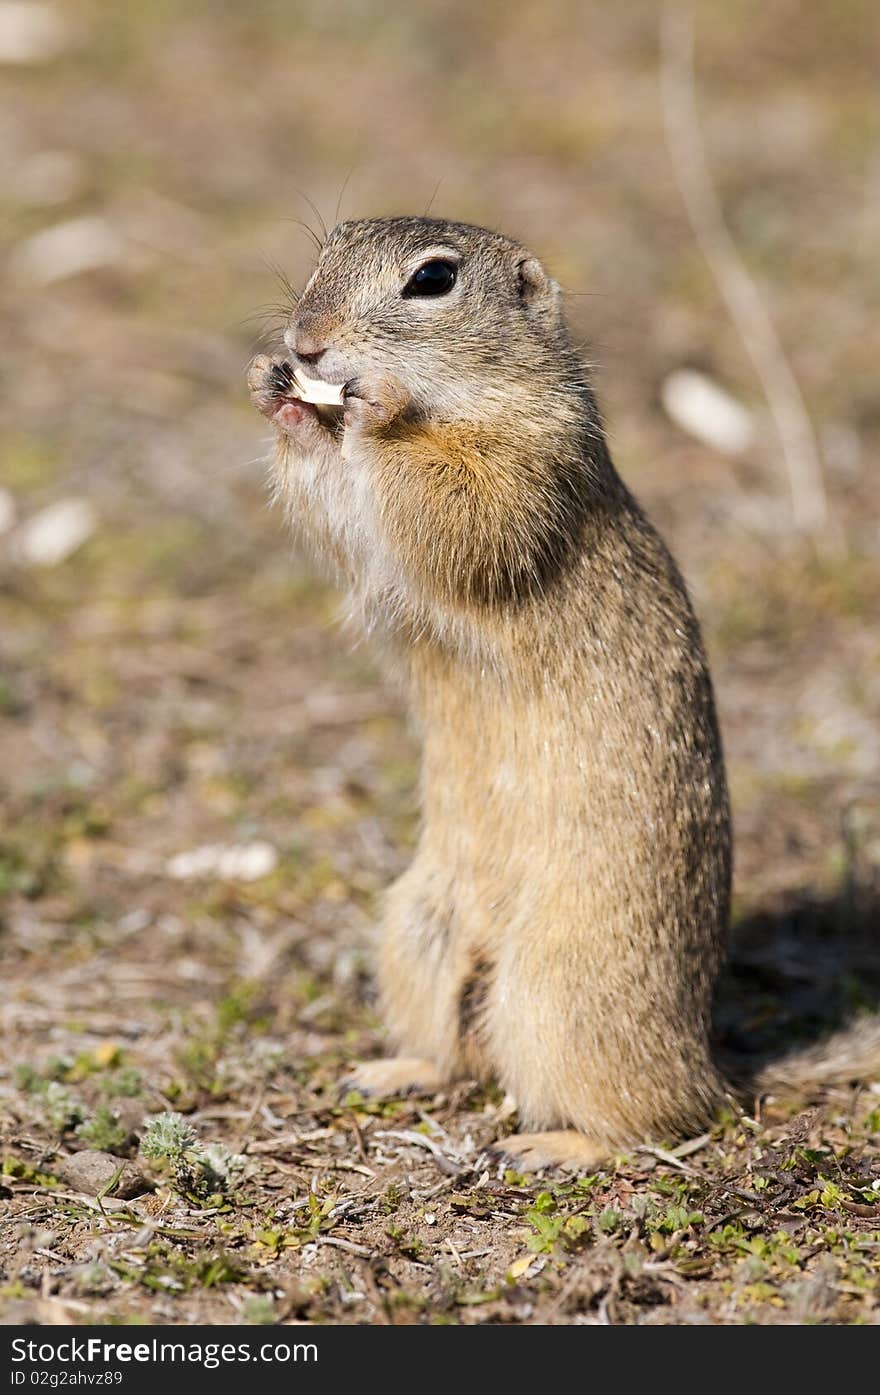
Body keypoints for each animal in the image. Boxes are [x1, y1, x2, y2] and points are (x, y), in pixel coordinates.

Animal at [246, 217, 880, 1171]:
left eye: (432, 280)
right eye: (330, 248)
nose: (305, 341)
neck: (464, 398)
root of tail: (711, 1058)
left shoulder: (533, 460)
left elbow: (461, 504)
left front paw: (372, 408)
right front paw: (274, 390)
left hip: (562, 991)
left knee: (665, 1118)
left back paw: (556, 1146)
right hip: (417, 930)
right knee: (465, 1054)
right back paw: (392, 1070)